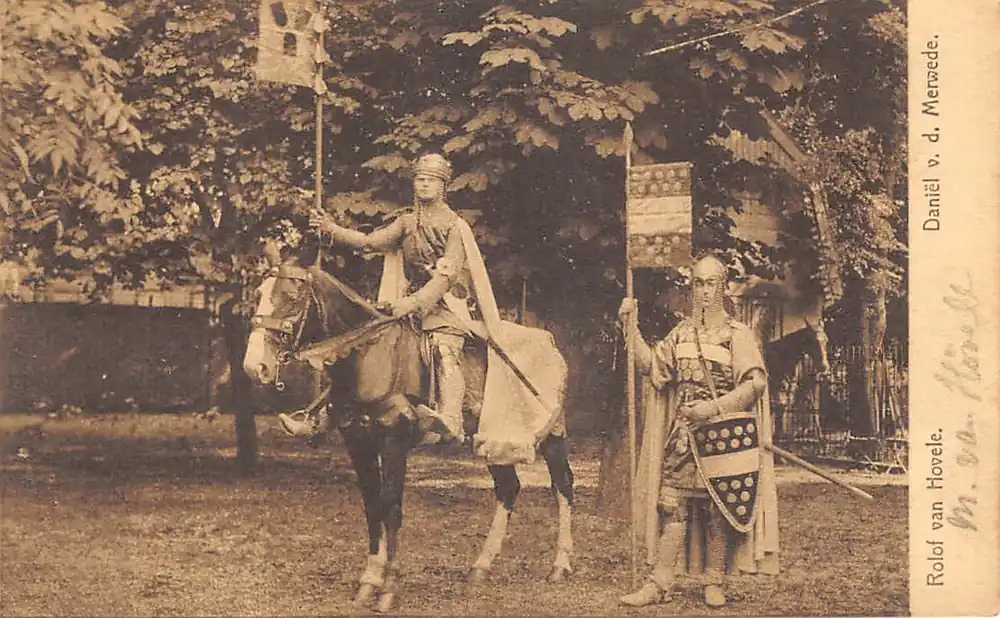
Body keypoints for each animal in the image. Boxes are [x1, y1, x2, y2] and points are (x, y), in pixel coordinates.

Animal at [241, 256, 575, 613]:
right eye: (258, 294)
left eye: (291, 297)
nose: (254, 367)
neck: (369, 355)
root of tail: (549, 341)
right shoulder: (357, 439)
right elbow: (373, 506)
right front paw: (368, 582)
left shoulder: (394, 439)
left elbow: (392, 508)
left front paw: (389, 589)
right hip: (490, 440)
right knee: (509, 488)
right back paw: (480, 567)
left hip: (551, 434)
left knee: (562, 484)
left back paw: (560, 565)